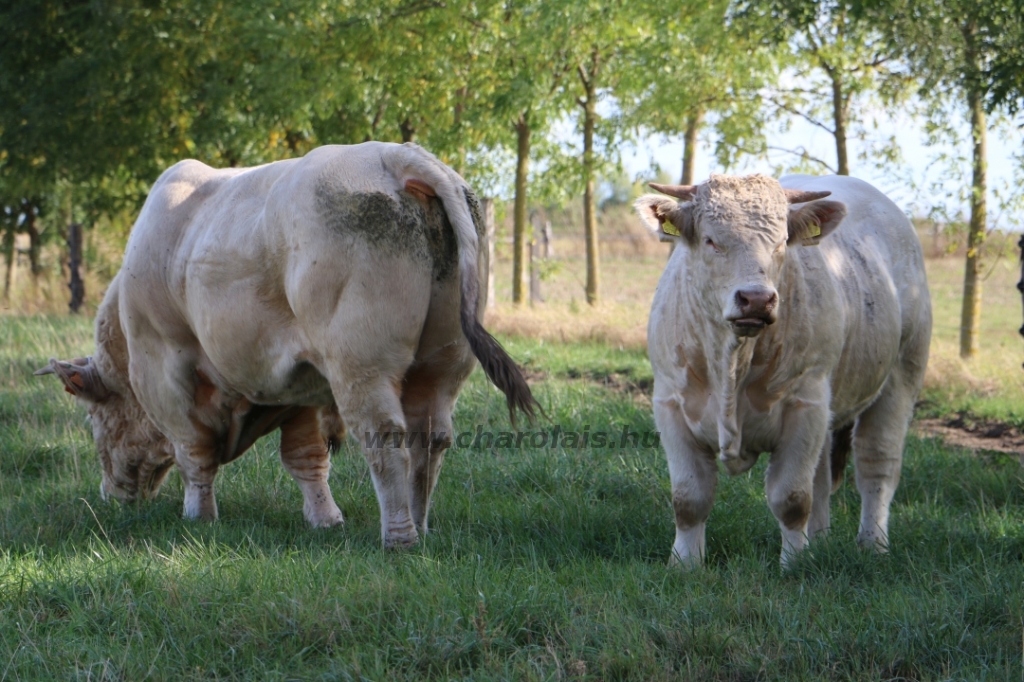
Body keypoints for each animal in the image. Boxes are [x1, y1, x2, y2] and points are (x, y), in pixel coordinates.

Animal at [36, 143, 536, 548]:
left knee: (384, 437)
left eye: (94, 420)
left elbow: (193, 453)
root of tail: (396, 156)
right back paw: (422, 525)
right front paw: (325, 520)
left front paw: (198, 517)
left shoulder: (162, 368)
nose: (111, 496)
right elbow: (306, 457)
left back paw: (400, 537)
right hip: (443, 362)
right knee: (429, 438)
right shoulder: (301, 380)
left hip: (361, 364)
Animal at [634, 174, 933, 561]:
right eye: (711, 240)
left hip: (901, 375)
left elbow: (792, 499)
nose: (756, 299)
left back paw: (873, 544)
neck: (732, 362)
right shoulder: (671, 403)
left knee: (876, 465)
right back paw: (820, 540)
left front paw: (795, 564)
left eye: (780, 243)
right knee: (822, 477)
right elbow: (688, 499)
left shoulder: (804, 404)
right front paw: (685, 563)